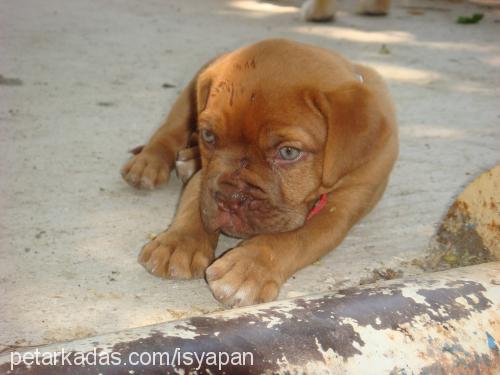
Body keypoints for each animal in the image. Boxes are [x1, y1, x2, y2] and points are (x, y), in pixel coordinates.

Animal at [121, 38, 398, 308]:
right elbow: (193, 206)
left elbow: (294, 237)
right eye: (208, 136)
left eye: (288, 152)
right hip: (188, 99)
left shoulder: (339, 210)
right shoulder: (206, 176)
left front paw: (248, 268)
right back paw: (148, 163)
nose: (230, 199)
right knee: (169, 130)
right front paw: (178, 243)